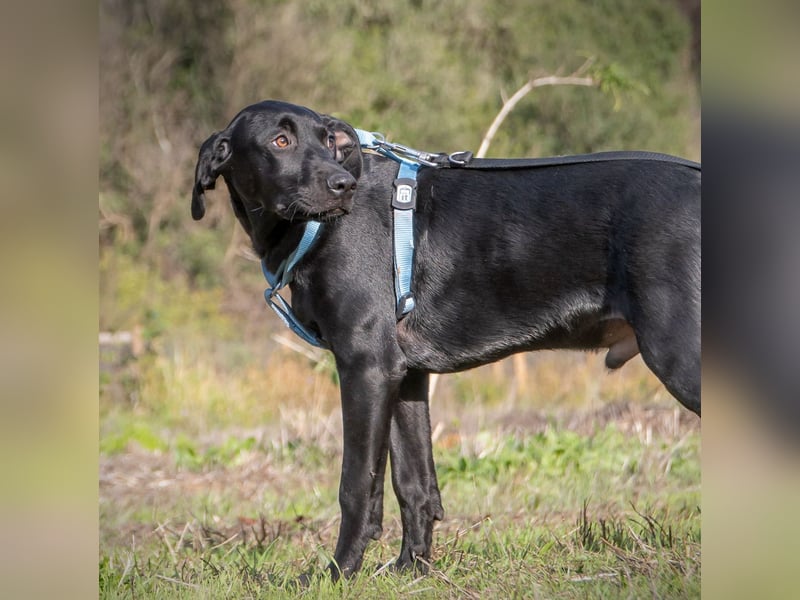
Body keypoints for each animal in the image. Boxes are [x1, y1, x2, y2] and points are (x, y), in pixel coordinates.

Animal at [191, 101, 696, 580]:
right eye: (280, 141)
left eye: (328, 142)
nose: (343, 186)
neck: (313, 230)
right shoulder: (404, 374)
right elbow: (415, 483)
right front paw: (411, 569)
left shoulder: (365, 365)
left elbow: (357, 485)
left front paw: (337, 574)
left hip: (678, 353)